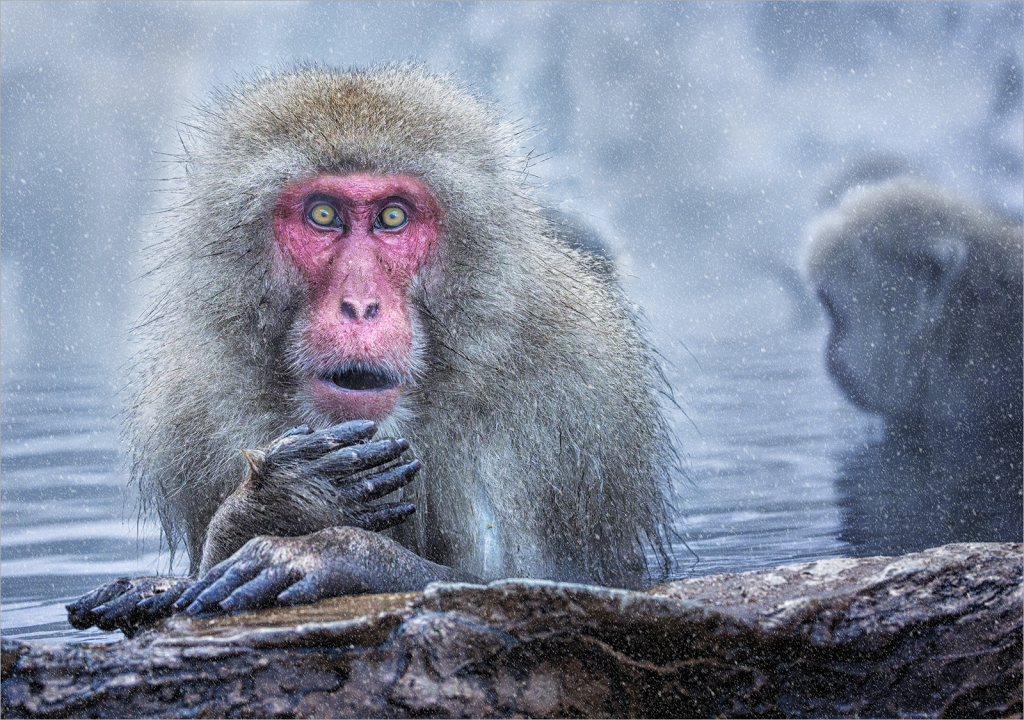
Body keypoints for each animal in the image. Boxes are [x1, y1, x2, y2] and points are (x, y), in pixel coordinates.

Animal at [66, 66, 674, 635]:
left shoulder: (570, 412)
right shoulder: (188, 413)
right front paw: (274, 505)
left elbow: (558, 585)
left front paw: (330, 550)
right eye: (323, 215)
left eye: (392, 217)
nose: (359, 305)